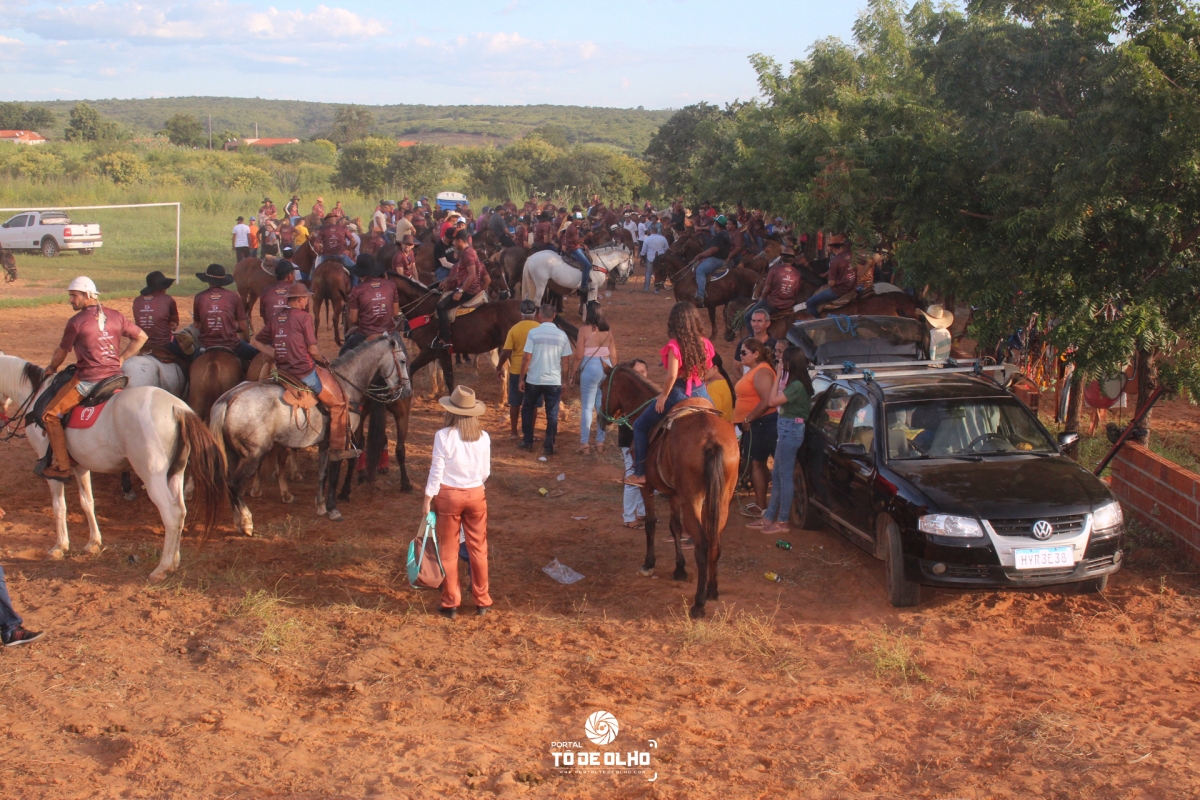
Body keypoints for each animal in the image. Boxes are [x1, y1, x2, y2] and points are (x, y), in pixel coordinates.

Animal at [0, 354, 226, 583]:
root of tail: (176, 407)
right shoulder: (81, 467)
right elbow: (87, 502)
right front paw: (93, 542)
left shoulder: (53, 472)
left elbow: (59, 506)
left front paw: (60, 546)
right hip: (176, 472)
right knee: (180, 511)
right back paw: (174, 560)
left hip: (152, 477)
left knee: (171, 514)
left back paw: (162, 568)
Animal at [208, 335, 410, 534]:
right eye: (402, 360)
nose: (407, 390)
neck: (346, 384)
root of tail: (227, 400)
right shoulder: (339, 442)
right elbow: (334, 474)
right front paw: (332, 508)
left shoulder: (324, 443)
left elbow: (323, 473)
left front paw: (320, 505)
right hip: (253, 455)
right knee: (234, 484)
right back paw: (247, 521)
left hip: (232, 454)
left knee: (228, 483)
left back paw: (238, 519)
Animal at [599, 363, 739, 618]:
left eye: (601, 387)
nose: (601, 420)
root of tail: (711, 438)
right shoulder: (674, 493)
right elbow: (674, 526)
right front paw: (679, 569)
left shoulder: (647, 487)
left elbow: (650, 524)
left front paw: (649, 563)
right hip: (721, 499)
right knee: (715, 541)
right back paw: (712, 590)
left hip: (693, 500)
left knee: (702, 545)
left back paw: (699, 603)